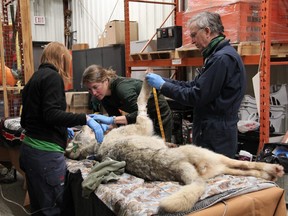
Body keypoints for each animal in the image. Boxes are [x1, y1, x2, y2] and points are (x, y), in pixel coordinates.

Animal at [91, 79, 284, 213]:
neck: (100, 144)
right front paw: (147, 82)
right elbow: (140, 101)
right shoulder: (142, 120)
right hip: (210, 155)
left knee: (242, 168)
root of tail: (182, 169)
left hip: (215, 164)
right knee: (244, 164)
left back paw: (270, 174)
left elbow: (140, 102)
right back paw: (274, 169)